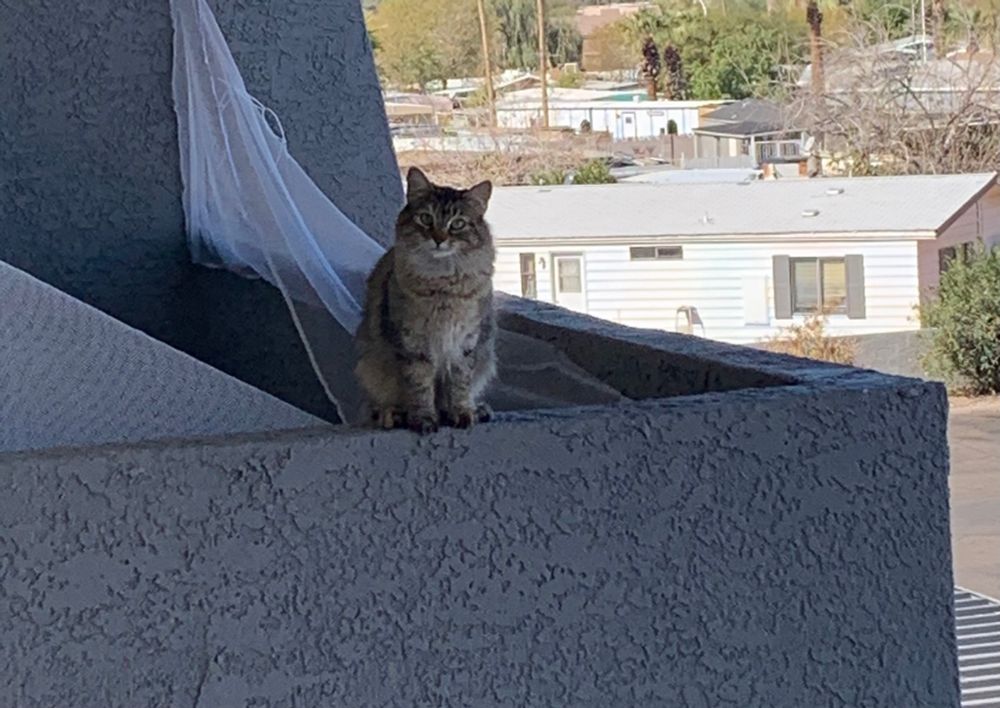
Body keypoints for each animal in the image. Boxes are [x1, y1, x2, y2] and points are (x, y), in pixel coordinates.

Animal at [354, 167, 497, 434]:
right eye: (426, 219)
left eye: (458, 224)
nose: (439, 239)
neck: (442, 283)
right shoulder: (413, 343)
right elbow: (420, 387)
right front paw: (424, 419)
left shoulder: (465, 343)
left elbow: (459, 385)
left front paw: (462, 413)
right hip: (370, 366)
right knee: (380, 406)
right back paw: (393, 415)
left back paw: (479, 409)